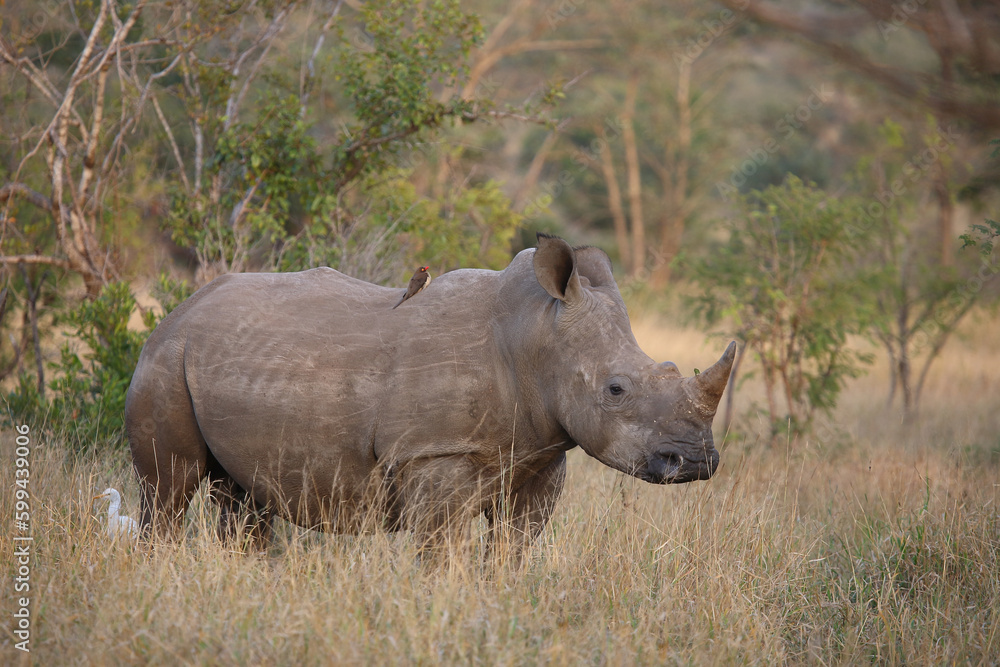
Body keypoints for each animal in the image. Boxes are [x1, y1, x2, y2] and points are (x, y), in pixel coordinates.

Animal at [125, 233, 735, 553]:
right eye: (616, 389)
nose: (697, 462)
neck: (536, 339)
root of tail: (180, 308)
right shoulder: (434, 455)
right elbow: (441, 553)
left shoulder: (541, 454)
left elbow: (512, 550)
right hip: (166, 357)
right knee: (169, 488)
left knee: (243, 498)